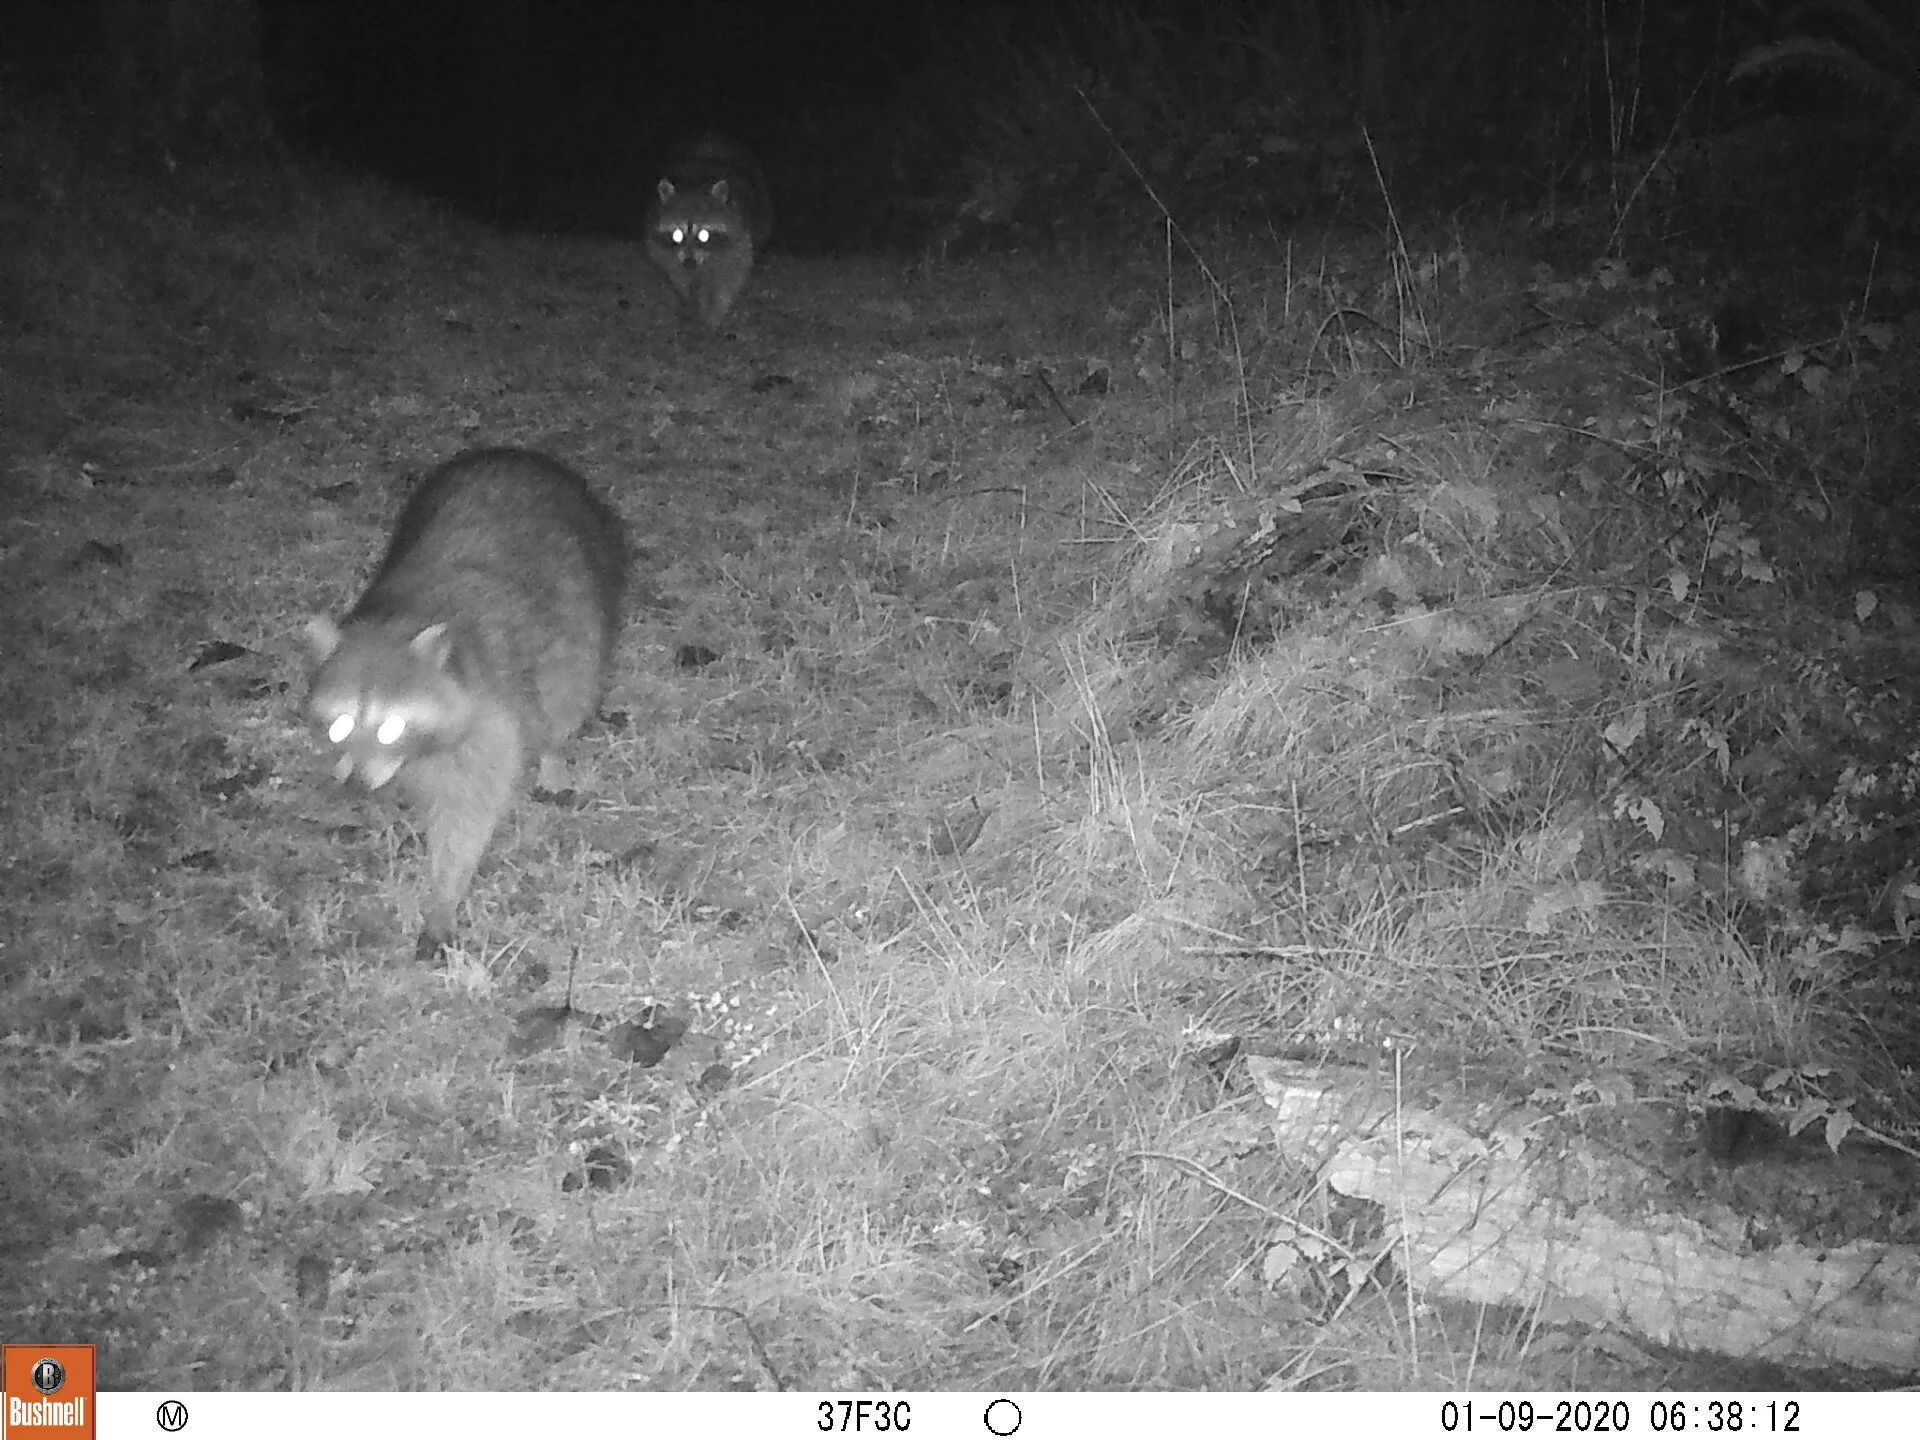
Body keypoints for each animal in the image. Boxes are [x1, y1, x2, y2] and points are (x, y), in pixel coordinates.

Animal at [305, 448, 628, 959]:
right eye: (339, 725)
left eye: (392, 727)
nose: (356, 784)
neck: (396, 619)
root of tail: (518, 457)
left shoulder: (490, 717)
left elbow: (469, 812)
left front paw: (442, 897)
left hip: (582, 609)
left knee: (567, 690)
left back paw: (554, 753)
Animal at [643, 132, 774, 330]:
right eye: (677, 235)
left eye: (704, 235)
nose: (690, 262)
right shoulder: (662, 248)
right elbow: (677, 275)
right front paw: (689, 299)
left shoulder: (738, 240)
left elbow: (728, 278)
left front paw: (713, 313)